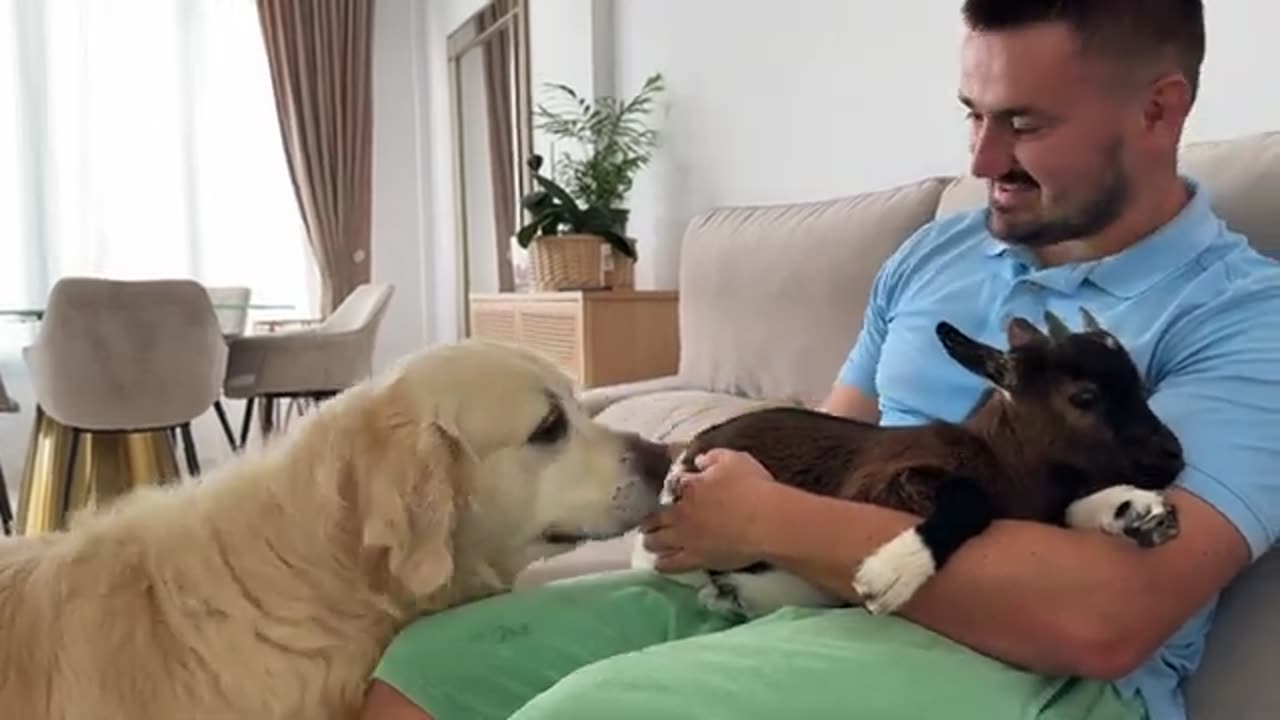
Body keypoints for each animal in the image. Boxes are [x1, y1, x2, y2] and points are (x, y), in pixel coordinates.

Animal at [634, 304, 1182, 614]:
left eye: (1141, 386)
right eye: (1084, 397)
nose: (1173, 456)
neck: (1004, 463)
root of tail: (693, 445)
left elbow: (1069, 509)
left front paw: (1137, 510)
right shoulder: (882, 483)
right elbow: (972, 500)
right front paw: (894, 570)